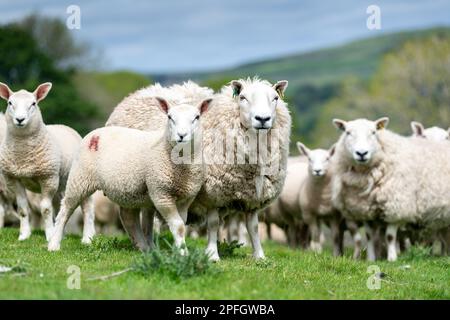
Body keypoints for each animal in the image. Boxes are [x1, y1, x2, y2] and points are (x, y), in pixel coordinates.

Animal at [0, 82, 96, 242]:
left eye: (33, 103)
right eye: (10, 103)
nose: (20, 120)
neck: (23, 155)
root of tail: (65, 126)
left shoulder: (48, 178)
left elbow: (45, 209)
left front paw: (49, 235)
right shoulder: (13, 179)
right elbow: (22, 209)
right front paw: (24, 235)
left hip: (80, 179)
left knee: (87, 207)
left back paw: (87, 238)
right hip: (61, 184)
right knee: (59, 206)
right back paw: (61, 235)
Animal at [47, 96, 213, 251]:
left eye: (197, 117)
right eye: (170, 117)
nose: (181, 135)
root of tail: (96, 132)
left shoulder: (186, 197)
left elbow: (181, 225)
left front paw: (179, 250)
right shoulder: (161, 194)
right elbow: (178, 226)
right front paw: (182, 253)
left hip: (129, 190)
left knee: (128, 218)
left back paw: (145, 247)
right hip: (79, 178)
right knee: (65, 209)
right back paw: (54, 244)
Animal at [106, 77, 292, 260]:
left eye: (275, 98)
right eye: (243, 97)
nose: (262, 119)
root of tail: (134, 95)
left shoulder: (252, 198)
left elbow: (253, 227)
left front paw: (260, 256)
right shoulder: (212, 194)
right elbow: (214, 224)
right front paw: (212, 255)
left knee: (147, 215)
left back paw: (151, 247)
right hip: (127, 182)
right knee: (129, 216)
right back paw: (142, 246)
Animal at [332, 116, 450, 262]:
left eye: (373, 132)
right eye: (347, 132)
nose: (362, 153)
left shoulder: (395, 207)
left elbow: (390, 236)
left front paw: (392, 258)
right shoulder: (365, 209)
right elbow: (369, 236)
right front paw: (371, 259)